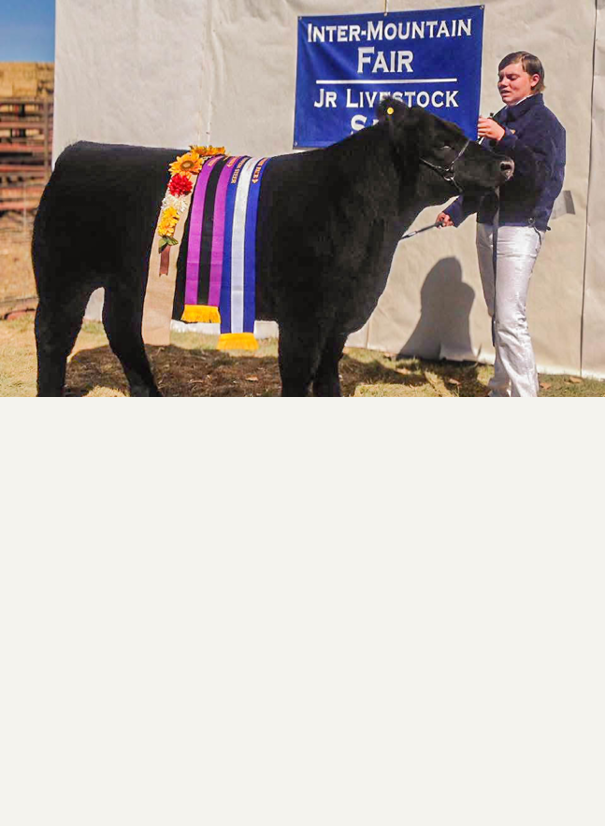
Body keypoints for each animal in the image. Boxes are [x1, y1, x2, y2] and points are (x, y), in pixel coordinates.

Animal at [32, 98, 513, 397]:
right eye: (443, 143)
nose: (506, 163)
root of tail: (76, 150)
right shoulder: (303, 312)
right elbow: (299, 375)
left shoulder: (341, 314)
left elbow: (329, 374)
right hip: (63, 276)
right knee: (54, 335)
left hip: (127, 281)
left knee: (120, 329)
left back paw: (149, 391)